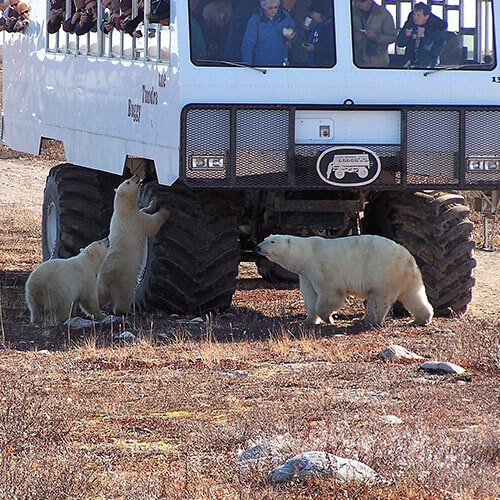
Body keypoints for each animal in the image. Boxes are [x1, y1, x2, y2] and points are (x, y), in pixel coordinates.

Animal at [258, 235, 434, 328]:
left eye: (272, 241)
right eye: (266, 238)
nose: (258, 246)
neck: (306, 254)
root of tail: (410, 260)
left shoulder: (322, 267)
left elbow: (330, 294)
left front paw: (328, 318)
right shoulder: (306, 275)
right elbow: (310, 296)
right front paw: (307, 320)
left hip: (384, 273)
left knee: (378, 300)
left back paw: (365, 320)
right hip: (405, 279)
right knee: (413, 296)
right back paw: (421, 318)